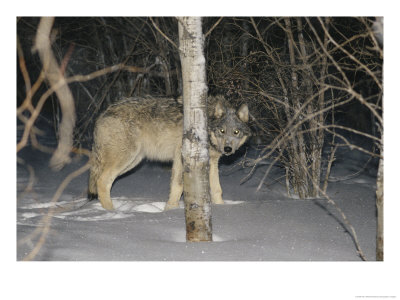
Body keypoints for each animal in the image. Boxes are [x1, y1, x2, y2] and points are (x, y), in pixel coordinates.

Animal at [88, 95, 250, 210]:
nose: (228, 149)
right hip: (126, 159)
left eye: (236, 132)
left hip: (133, 161)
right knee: (102, 181)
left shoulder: (212, 163)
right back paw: (111, 212)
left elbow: (217, 189)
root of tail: (101, 114)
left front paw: (222, 208)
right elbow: (178, 186)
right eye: (222, 131)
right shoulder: (180, 157)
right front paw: (170, 210)